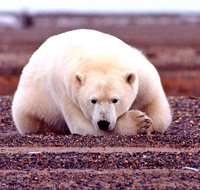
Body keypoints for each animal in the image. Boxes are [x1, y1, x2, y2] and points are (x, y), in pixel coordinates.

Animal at [11, 29, 172, 135]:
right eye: (93, 100)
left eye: (115, 100)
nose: (103, 122)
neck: (100, 56)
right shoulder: (65, 90)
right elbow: (82, 125)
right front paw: (140, 122)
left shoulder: (143, 76)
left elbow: (159, 113)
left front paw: (148, 121)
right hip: (30, 109)